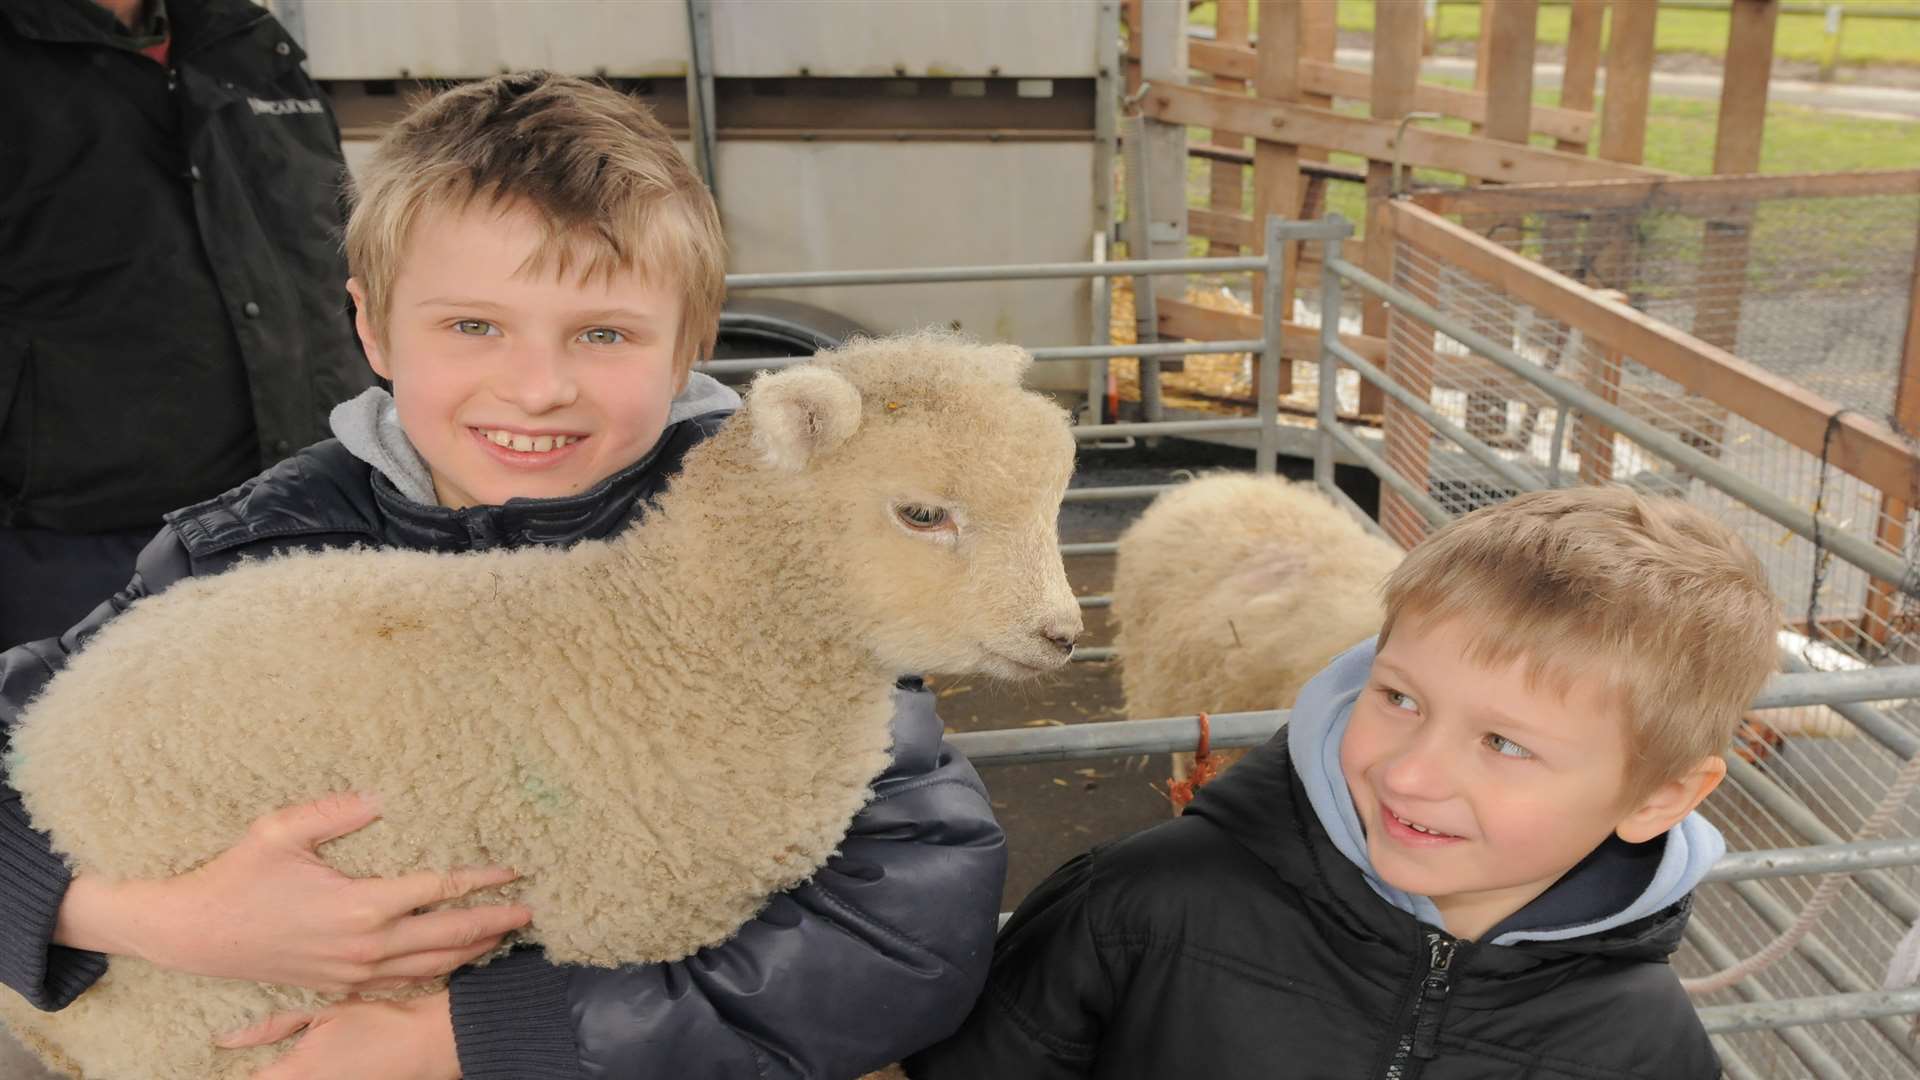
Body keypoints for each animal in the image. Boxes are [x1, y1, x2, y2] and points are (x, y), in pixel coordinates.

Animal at [0, 332, 1082, 1068]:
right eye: (923, 514)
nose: (1064, 633)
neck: (671, 646)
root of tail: (44, 746)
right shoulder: (617, 919)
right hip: (209, 1003)